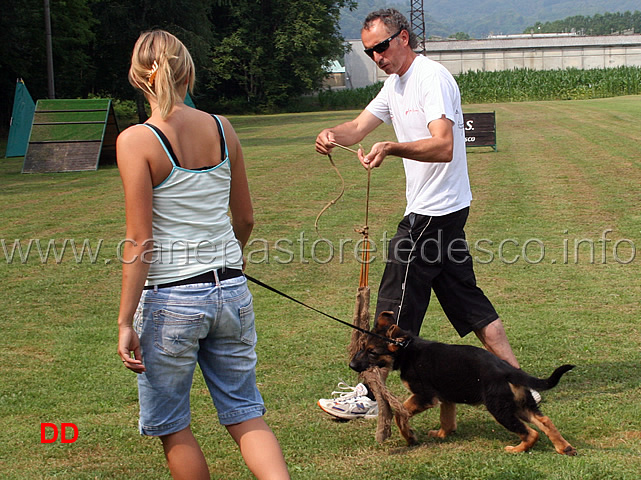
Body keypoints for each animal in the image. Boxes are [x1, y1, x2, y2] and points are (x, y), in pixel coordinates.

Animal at [350, 312, 576, 454]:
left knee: (531, 433)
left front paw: (410, 438)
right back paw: (564, 447)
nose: (351, 365)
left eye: (372, 352)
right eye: (362, 347)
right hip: (520, 405)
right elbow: (447, 419)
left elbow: (400, 415)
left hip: (500, 408)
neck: (407, 349)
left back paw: (517, 449)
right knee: (545, 421)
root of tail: (507, 370)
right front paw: (442, 434)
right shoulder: (446, 398)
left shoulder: (424, 396)